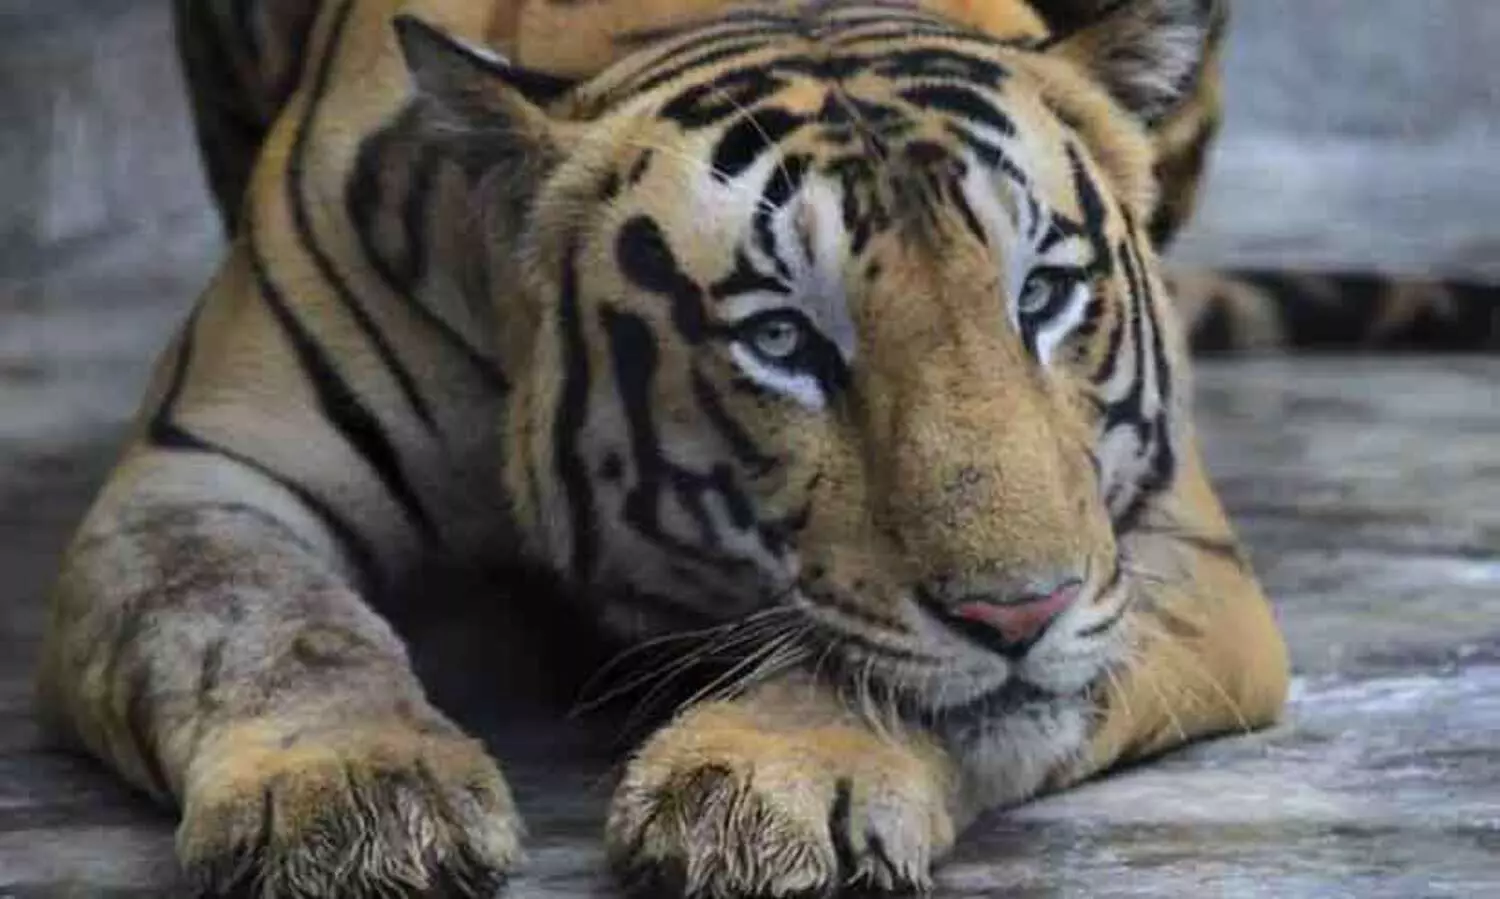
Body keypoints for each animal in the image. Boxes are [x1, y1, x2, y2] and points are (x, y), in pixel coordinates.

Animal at [39, 0, 1303, 895]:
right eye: (783, 339)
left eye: (1041, 294)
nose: (1018, 613)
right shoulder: (201, 474)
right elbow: (258, 623)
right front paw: (351, 790)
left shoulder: (1165, 537)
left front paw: (762, 782)